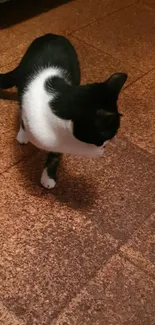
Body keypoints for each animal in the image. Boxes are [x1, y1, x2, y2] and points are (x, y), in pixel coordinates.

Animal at [0, 33, 127, 187]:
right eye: (106, 135)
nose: (106, 146)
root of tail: (52, 35)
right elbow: (25, 121)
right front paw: (24, 134)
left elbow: (56, 155)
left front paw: (48, 177)